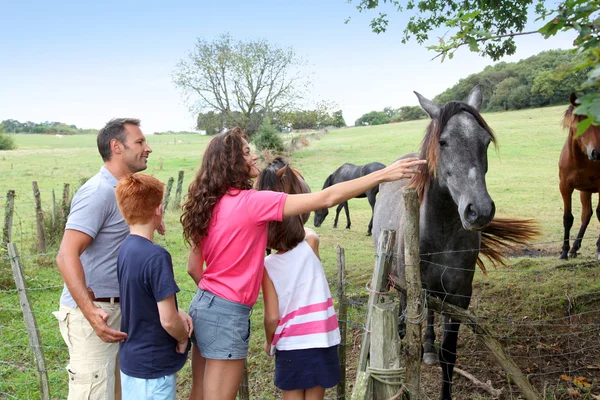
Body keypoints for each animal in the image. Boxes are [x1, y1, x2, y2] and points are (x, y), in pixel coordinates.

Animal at [556, 93, 600, 260]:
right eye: (580, 122)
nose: (596, 152)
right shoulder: (565, 187)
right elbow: (568, 218)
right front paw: (564, 251)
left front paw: (599, 249)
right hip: (585, 191)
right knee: (586, 215)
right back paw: (574, 248)